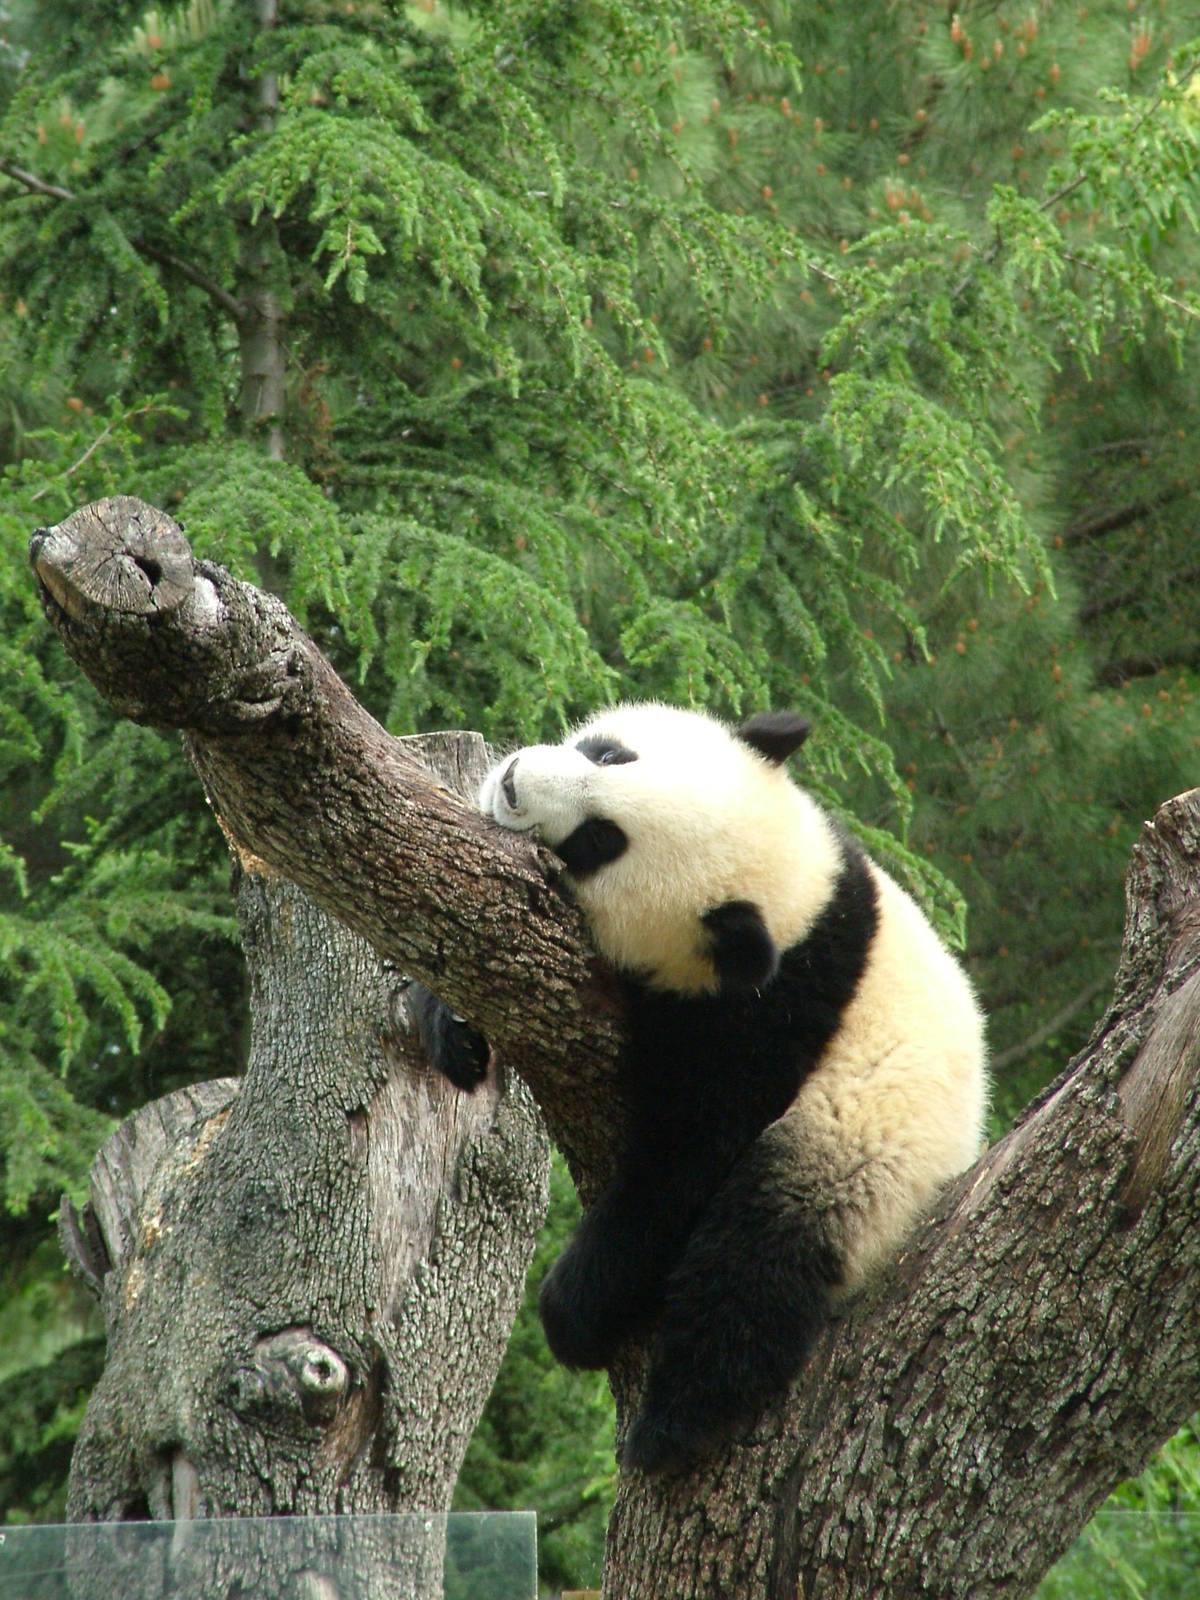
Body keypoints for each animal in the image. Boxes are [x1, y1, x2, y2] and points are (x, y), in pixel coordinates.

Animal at [412, 702, 988, 1475]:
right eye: (610, 754)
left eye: (601, 842)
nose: (512, 781)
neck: (801, 904)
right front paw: (456, 1033)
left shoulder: (764, 1018)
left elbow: (685, 1160)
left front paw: (574, 1307)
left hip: (858, 1162)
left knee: (754, 1263)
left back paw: (671, 1427)